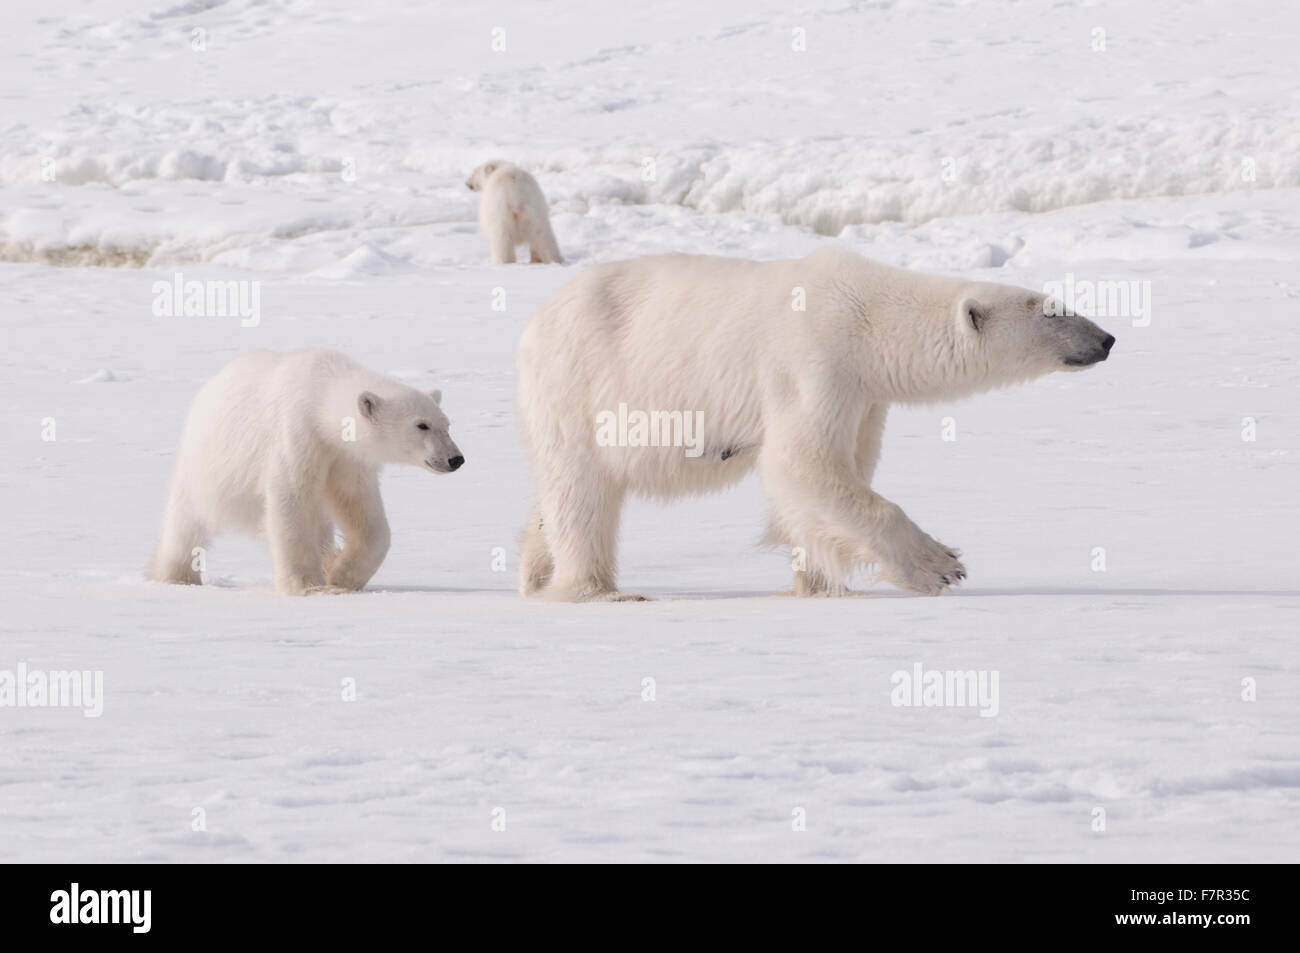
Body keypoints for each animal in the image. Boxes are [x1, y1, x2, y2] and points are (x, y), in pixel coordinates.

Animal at [149, 345, 465, 598]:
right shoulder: (298, 432)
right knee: (187, 520)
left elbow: (360, 508)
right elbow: (291, 497)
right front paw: (307, 586)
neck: (320, 396)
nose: (455, 459)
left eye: (446, 424)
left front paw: (340, 572)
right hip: (207, 463)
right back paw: (177, 575)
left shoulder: (346, 457)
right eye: (422, 425)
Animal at [512, 249, 1112, 598]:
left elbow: (840, 476)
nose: (1106, 339)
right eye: (1054, 311)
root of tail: (537, 321)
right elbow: (803, 465)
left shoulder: (864, 395)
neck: (870, 317)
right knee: (582, 490)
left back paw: (535, 569)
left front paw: (817, 583)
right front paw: (938, 565)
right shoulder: (813, 361)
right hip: (581, 383)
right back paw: (598, 589)